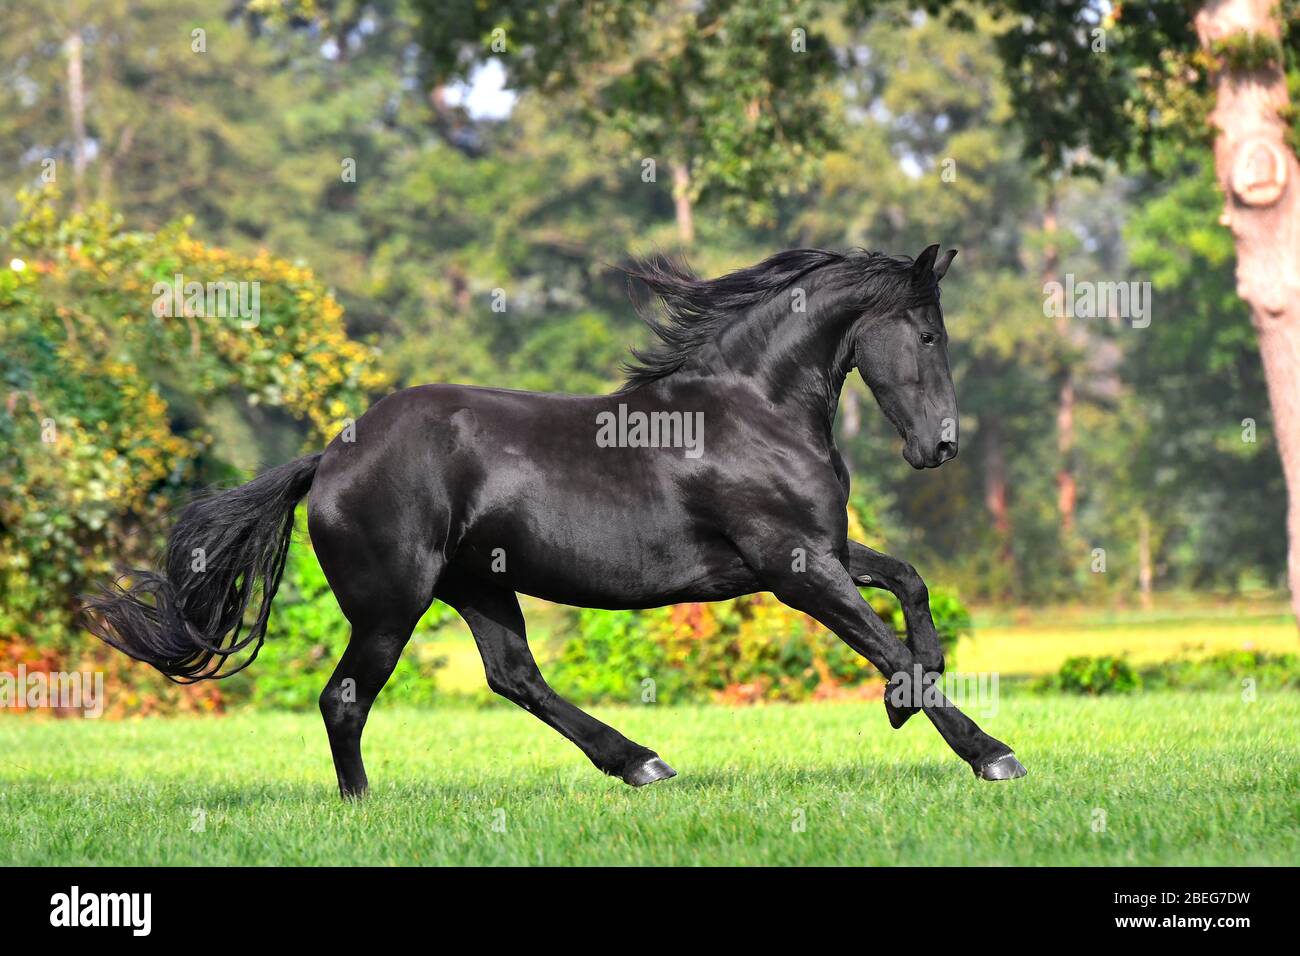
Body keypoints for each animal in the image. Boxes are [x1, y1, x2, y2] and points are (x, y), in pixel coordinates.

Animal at [85, 242, 1026, 798]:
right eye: (930, 334)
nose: (940, 445)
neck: (752, 409)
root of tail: (332, 456)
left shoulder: (816, 551)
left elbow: (910, 586)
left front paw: (902, 706)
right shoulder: (794, 565)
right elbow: (886, 641)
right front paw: (988, 751)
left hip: (477, 589)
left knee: (515, 679)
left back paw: (641, 763)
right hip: (392, 605)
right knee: (345, 698)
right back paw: (363, 807)